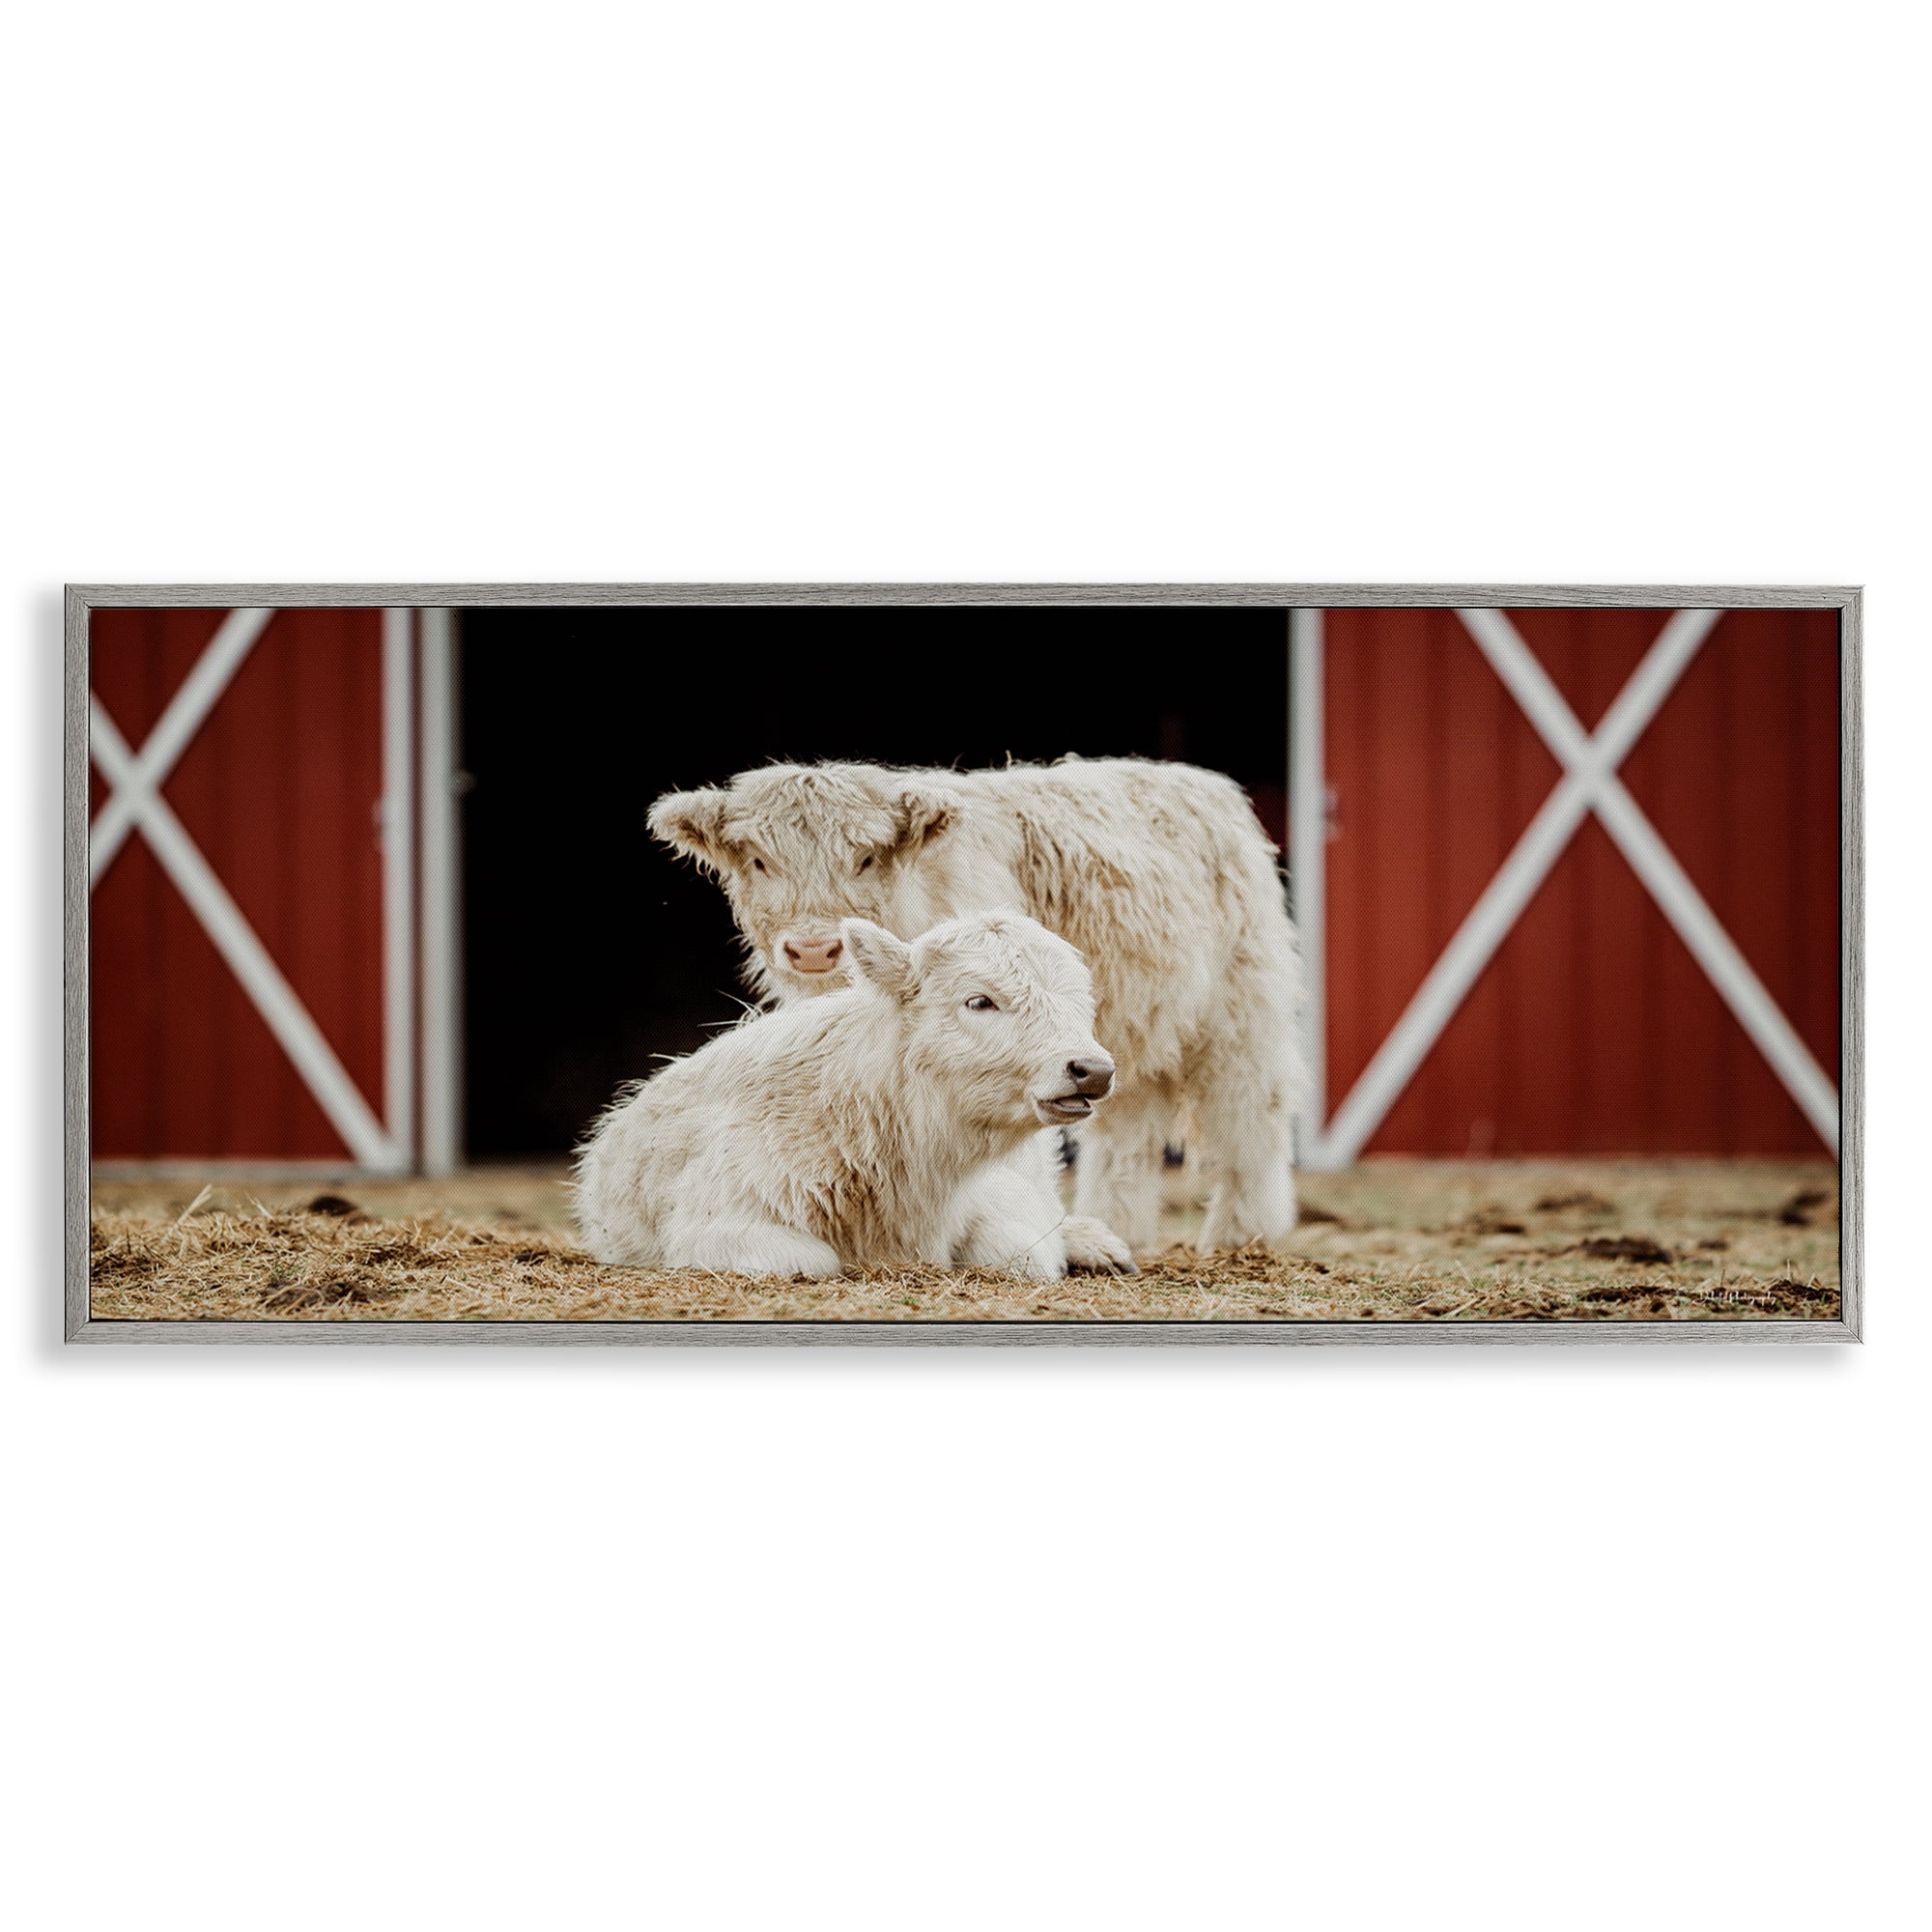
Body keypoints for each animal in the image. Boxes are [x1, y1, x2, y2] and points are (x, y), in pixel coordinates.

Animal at [574, 911, 1137, 1280]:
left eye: (1081, 1002)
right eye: (979, 1001)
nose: (1093, 1070)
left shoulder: (1001, 1196)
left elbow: (1023, 1253)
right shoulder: (712, 1223)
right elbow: (813, 1262)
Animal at [647, 756, 1302, 1254]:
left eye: (865, 858)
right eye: (760, 861)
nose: (812, 948)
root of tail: (1200, 781)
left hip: (1240, 1016)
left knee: (1252, 1115)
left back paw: (1243, 1235)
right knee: (1127, 1133)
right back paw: (1119, 1228)